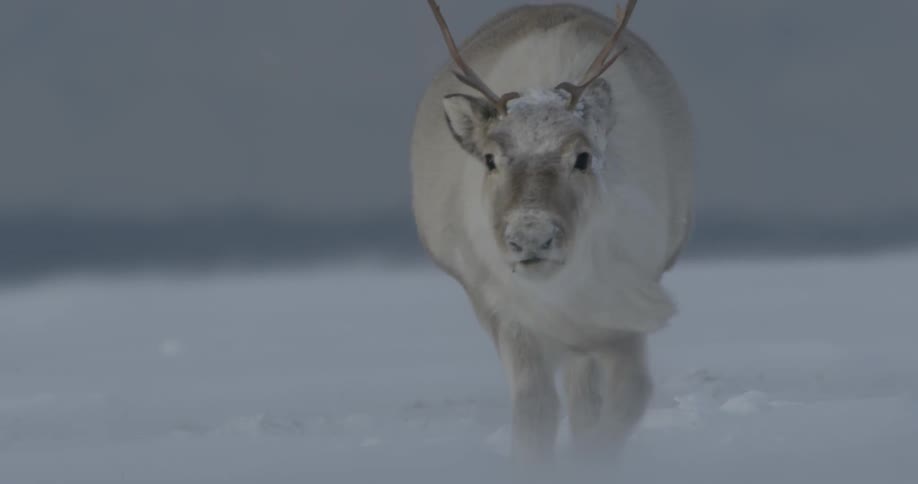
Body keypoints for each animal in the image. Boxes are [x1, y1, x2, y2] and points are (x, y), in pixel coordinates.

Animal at [409, 0, 693, 461]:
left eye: (582, 157)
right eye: (490, 159)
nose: (530, 237)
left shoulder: (623, 306)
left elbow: (626, 398)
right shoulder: (508, 314)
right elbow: (535, 411)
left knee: (585, 398)